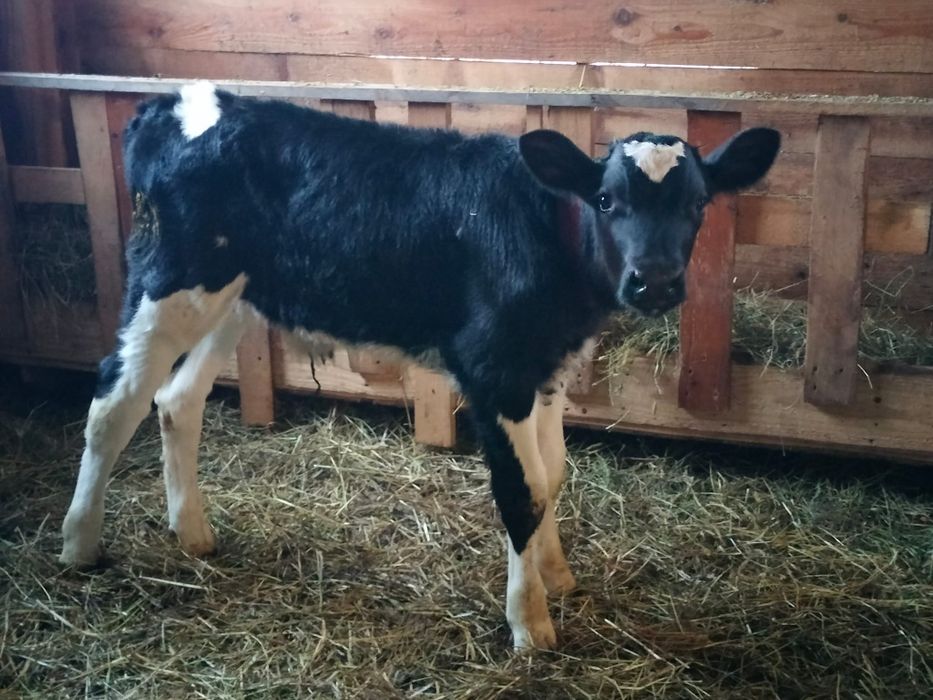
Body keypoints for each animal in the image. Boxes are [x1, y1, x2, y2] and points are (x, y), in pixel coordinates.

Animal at [59, 82, 780, 649]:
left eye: (697, 204)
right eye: (605, 201)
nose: (653, 281)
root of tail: (170, 102)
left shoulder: (545, 365)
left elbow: (552, 477)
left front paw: (558, 577)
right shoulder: (493, 367)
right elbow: (522, 491)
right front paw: (530, 624)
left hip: (234, 294)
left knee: (176, 400)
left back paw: (194, 535)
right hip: (168, 279)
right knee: (112, 403)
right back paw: (80, 544)